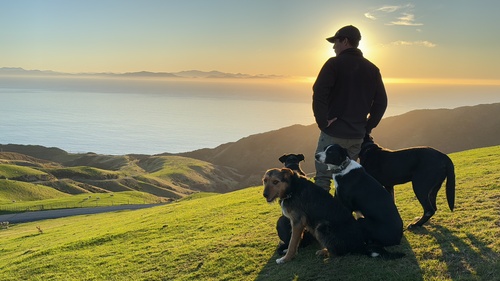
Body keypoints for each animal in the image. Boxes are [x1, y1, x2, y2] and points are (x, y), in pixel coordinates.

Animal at [264, 166, 404, 262]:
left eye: (275, 182)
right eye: (265, 181)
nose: (264, 195)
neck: (292, 188)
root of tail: (360, 245)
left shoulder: (298, 222)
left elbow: (293, 243)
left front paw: (286, 258)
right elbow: (295, 242)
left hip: (321, 226)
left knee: (336, 254)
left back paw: (325, 253)